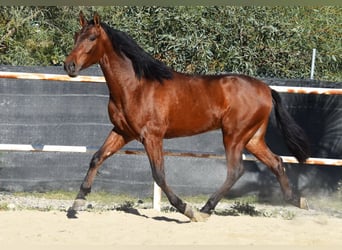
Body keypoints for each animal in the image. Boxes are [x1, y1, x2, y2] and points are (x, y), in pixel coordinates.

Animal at [63, 11, 310, 221]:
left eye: (92, 37)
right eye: (76, 36)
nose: (69, 65)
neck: (135, 87)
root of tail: (266, 89)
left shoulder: (151, 136)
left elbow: (159, 175)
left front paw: (186, 209)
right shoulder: (123, 132)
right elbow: (97, 158)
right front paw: (76, 204)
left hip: (234, 135)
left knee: (236, 170)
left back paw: (204, 209)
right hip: (253, 138)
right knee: (276, 162)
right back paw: (297, 201)